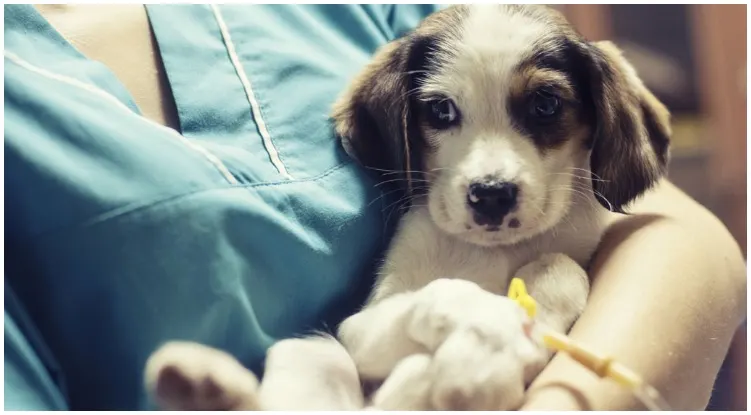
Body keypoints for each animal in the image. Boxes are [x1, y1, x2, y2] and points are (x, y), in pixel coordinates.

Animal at [144, 4, 672, 412]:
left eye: (545, 104)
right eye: (440, 110)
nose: (491, 195)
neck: (491, 252)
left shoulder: (572, 251)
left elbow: (562, 265)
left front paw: (502, 342)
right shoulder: (360, 327)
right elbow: (442, 291)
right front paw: (487, 335)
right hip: (313, 348)